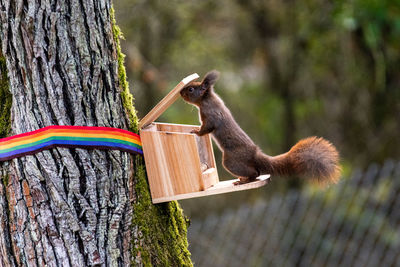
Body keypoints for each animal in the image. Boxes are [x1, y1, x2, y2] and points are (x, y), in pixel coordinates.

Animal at [180, 70, 340, 185]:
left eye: (191, 89)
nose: (181, 92)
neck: (206, 99)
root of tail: (255, 155)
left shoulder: (211, 115)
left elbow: (207, 127)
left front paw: (196, 132)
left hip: (231, 161)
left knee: (255, 173)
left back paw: (243, 180)